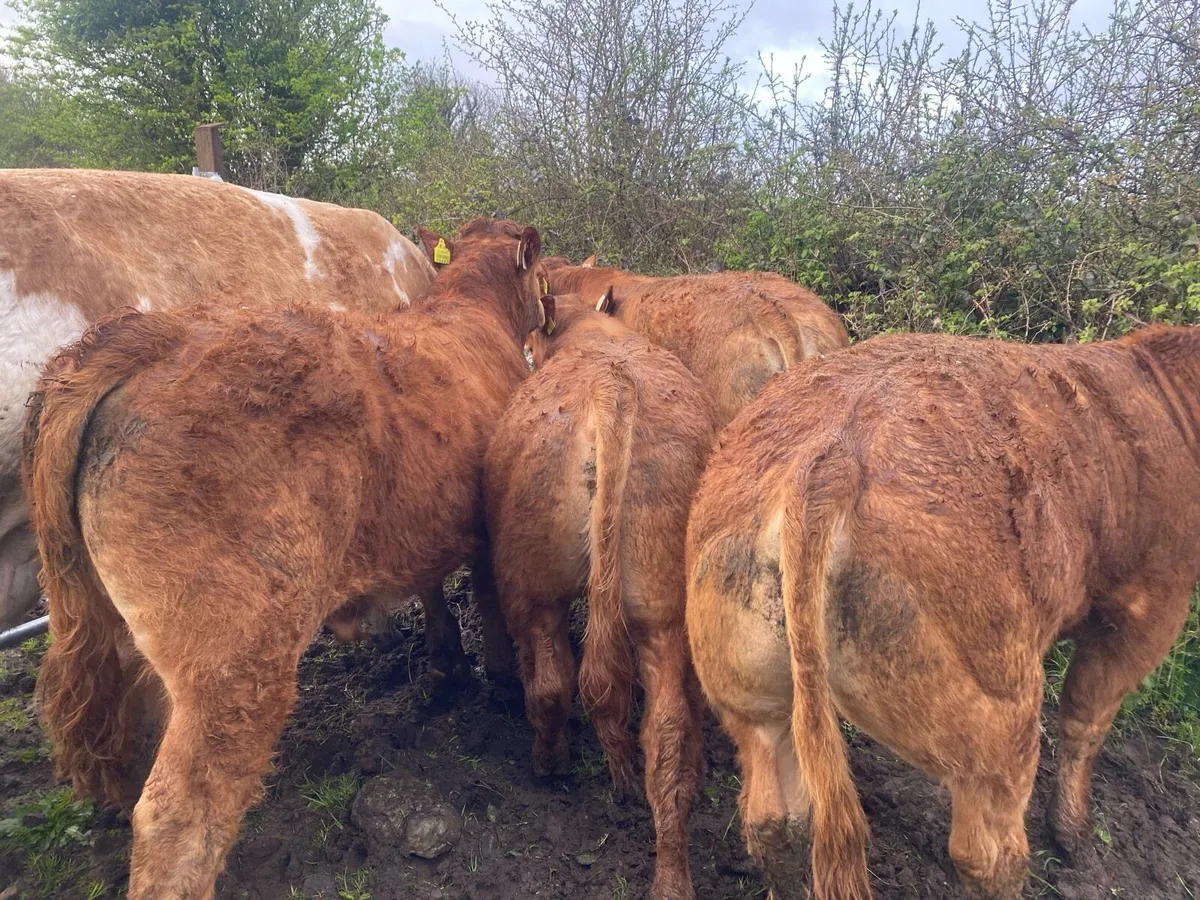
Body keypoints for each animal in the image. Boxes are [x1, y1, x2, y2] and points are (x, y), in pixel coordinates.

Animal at [23, 218, 546, 900]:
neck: (470, 312)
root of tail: (159, 333)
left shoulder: (425, 520)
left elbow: (432, 587)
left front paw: (446, 665)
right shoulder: (487, 520)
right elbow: (487, 599)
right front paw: (501, 680)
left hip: (125, 638)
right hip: (238, 660)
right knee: (179, 814)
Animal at [485, 290, 715, 900]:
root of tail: (613, 389)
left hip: (534, 590)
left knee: (550, 682)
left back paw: (548, 763)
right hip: (657, 610)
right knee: (662, 732)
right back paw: (671, 876)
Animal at [684, 326, 1200, 900]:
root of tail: (830, 454)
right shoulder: (1148, 608)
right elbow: (1086, 718)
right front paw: (1074, 835)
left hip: (752, 694)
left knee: (774, 822)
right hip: (995, 723)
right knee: (988, 852)